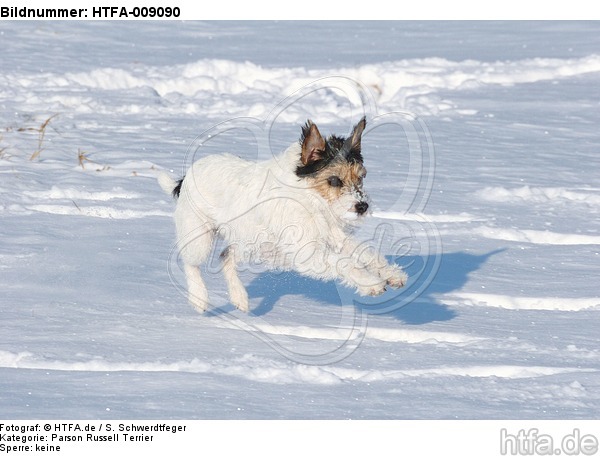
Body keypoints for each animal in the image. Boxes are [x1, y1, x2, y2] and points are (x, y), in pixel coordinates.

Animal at [158, 116, 408, 314]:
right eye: (334, 180)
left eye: (361, 177)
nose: (362, 206)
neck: (310, 198)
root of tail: (185, 178)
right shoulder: (307, 253)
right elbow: (345, 263)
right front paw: (371, 283)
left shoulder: (334, 235)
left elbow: (365, 252)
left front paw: (391, 273)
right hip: (200, 237)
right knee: (191, 263)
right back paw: (199, 298)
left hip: (251, 242)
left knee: (225, 256)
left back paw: (239, 298)